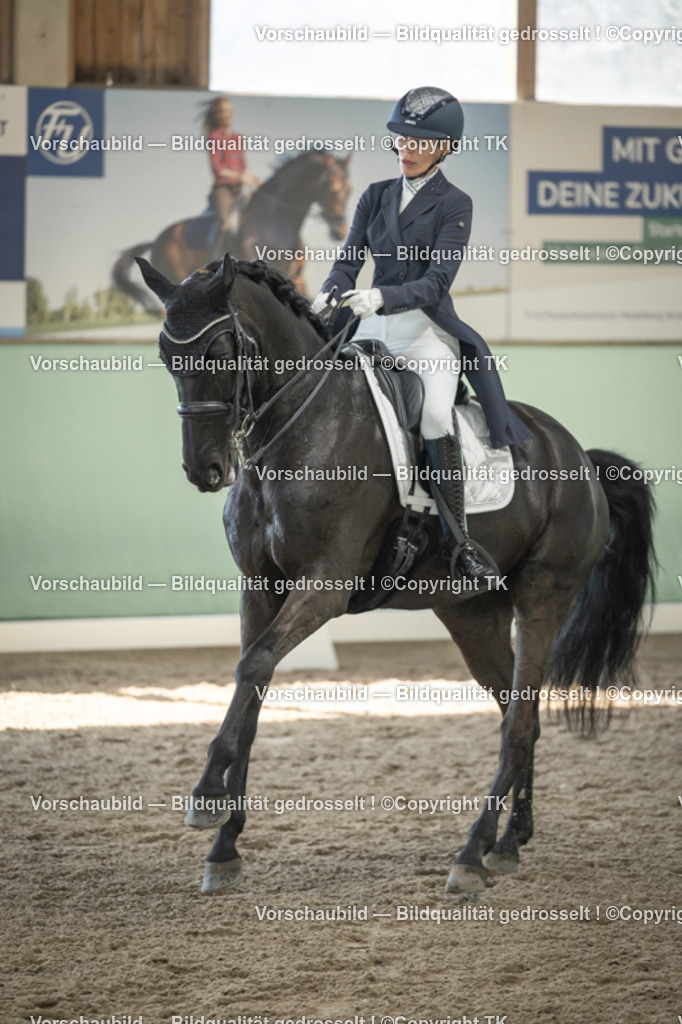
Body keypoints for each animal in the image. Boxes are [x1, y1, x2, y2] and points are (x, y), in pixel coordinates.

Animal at [114, 152, 351, 311]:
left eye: (350, 190)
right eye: (333, 189)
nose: (340, 231)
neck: (275, 220)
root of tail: (157, 241)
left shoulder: (297, 276)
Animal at [137, 253, 657, 896]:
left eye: (218, 350)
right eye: (166, 353)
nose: (204, 469)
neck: (299, 428)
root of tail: (579, 457)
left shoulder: (324, 587)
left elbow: (252, 665)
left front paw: (206, 796)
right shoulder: (260, 590)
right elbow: (251, 696)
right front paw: (224, 849)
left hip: (544, 596)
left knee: (518, 720)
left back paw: (471, 853)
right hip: (470, 614)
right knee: (522, 715)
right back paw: (510, 841)